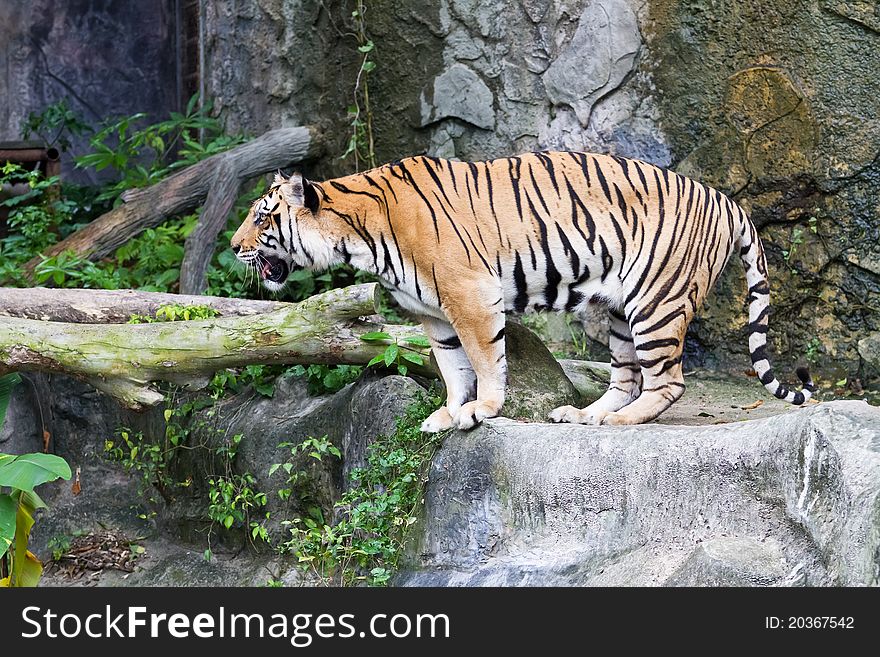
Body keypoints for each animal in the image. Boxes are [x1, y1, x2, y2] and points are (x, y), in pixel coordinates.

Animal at [230, 151, 816, 434]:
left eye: (262, 217)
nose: (234, 247)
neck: (357, 235)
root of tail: (727, 199)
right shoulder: (433, 315)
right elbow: (452, 369)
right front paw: (448, 413)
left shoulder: (470, 297)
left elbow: (485, 359)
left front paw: (483, 410)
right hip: (618, 309)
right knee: (626, 376)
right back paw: (587, 415)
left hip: (658, 300)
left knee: (668, 381)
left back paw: (619, 421)